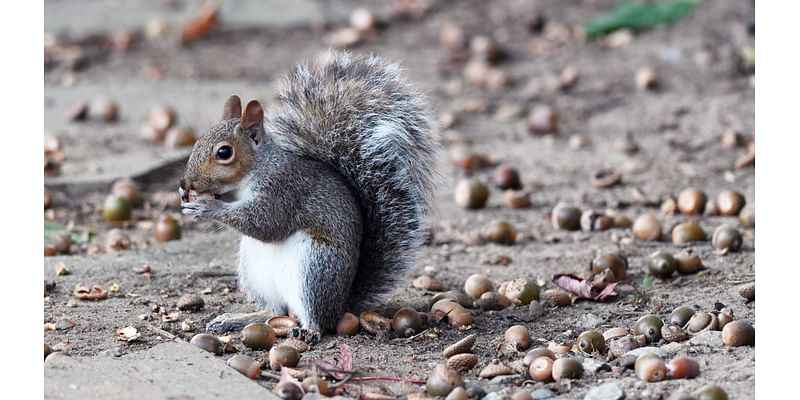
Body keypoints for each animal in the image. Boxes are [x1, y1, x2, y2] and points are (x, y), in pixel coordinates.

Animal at [179, 50, 440, 344]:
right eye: (197, 141)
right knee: (276, 311)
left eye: (224, 152)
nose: (185, 182)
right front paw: (187, 198)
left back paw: (308, 330)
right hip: (256, 274)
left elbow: (265, 223)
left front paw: (208, 207)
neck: (256, 169)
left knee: (316, 319)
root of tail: (342, 304)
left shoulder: (284, 190)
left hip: (314, 271)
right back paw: (238, 319)